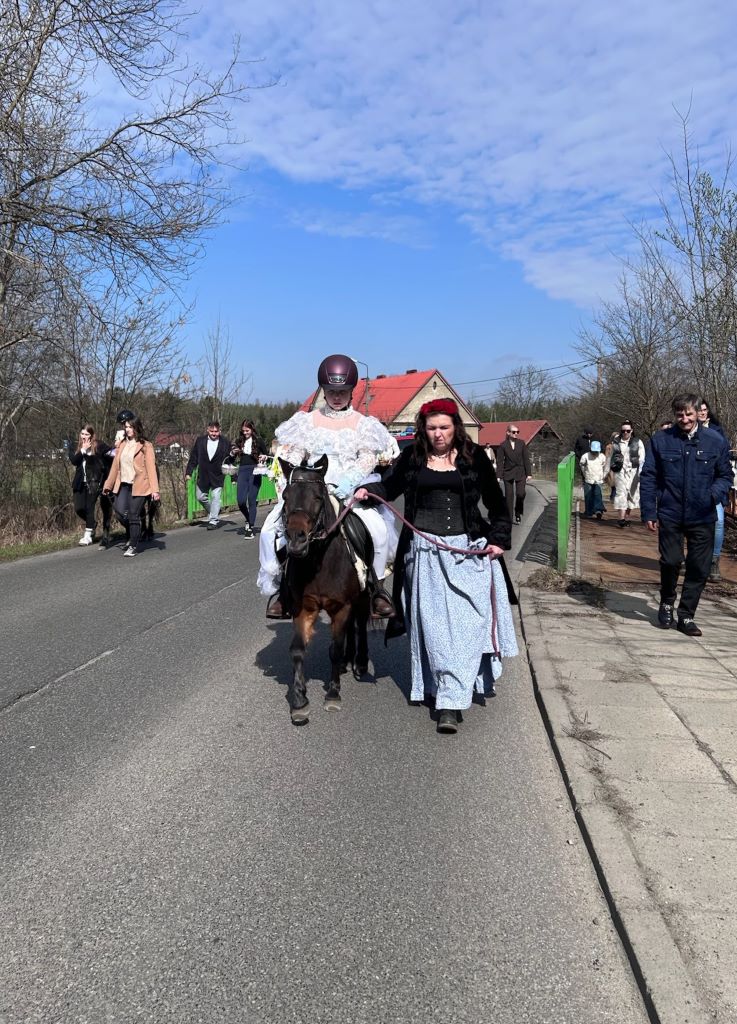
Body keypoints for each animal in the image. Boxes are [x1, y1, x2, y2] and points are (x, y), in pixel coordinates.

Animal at [279, 456, 370, 724]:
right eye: (285, 496)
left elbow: (335, 649)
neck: (319, 562)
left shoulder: (342, 606)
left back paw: (359, 662)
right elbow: (298, 650)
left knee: (360, 622)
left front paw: (333, 694)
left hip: (361, 599)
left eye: (318, 497)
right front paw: (299, 701)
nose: (296, 540)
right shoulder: (303, 607)